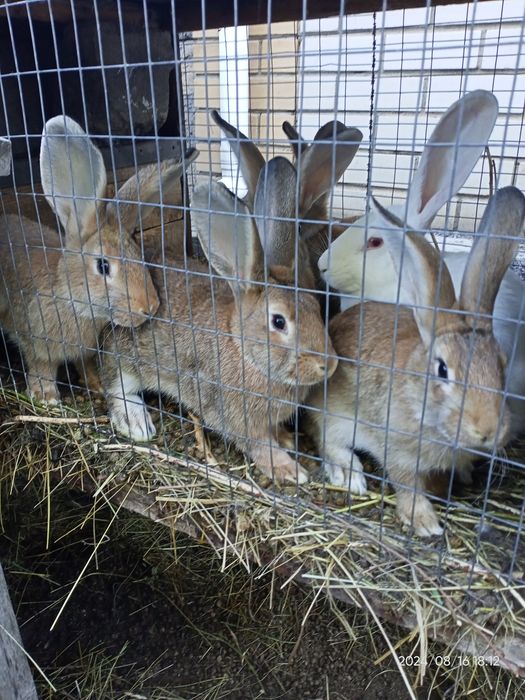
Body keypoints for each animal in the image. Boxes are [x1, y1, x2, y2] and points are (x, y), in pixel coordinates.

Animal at [0, 115, 194, 403]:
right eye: (103, 266)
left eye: (137, 251)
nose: (150, 306)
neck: (72, 301)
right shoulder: (35, 341)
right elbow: (42, 367)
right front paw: (46, 396)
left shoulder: (86, 350)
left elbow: (86, 363)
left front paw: (97, 385)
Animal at [99, 169, 338, 484]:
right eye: (278, 321)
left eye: (315, 308)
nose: (329, 365)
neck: (245, 352)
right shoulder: (235, 416)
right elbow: (258, 445)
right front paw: (288, 469)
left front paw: (286, 438)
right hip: (127, 359)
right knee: (115, 387)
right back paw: (136, 422)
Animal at [305, 186, 525, 536]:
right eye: (442, 369)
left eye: (500, 365)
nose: (487, 430)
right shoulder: (397, 450)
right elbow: (407, 484)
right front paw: (426, 523)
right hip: (335, 415)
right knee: (325, 437)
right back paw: (348, 474)